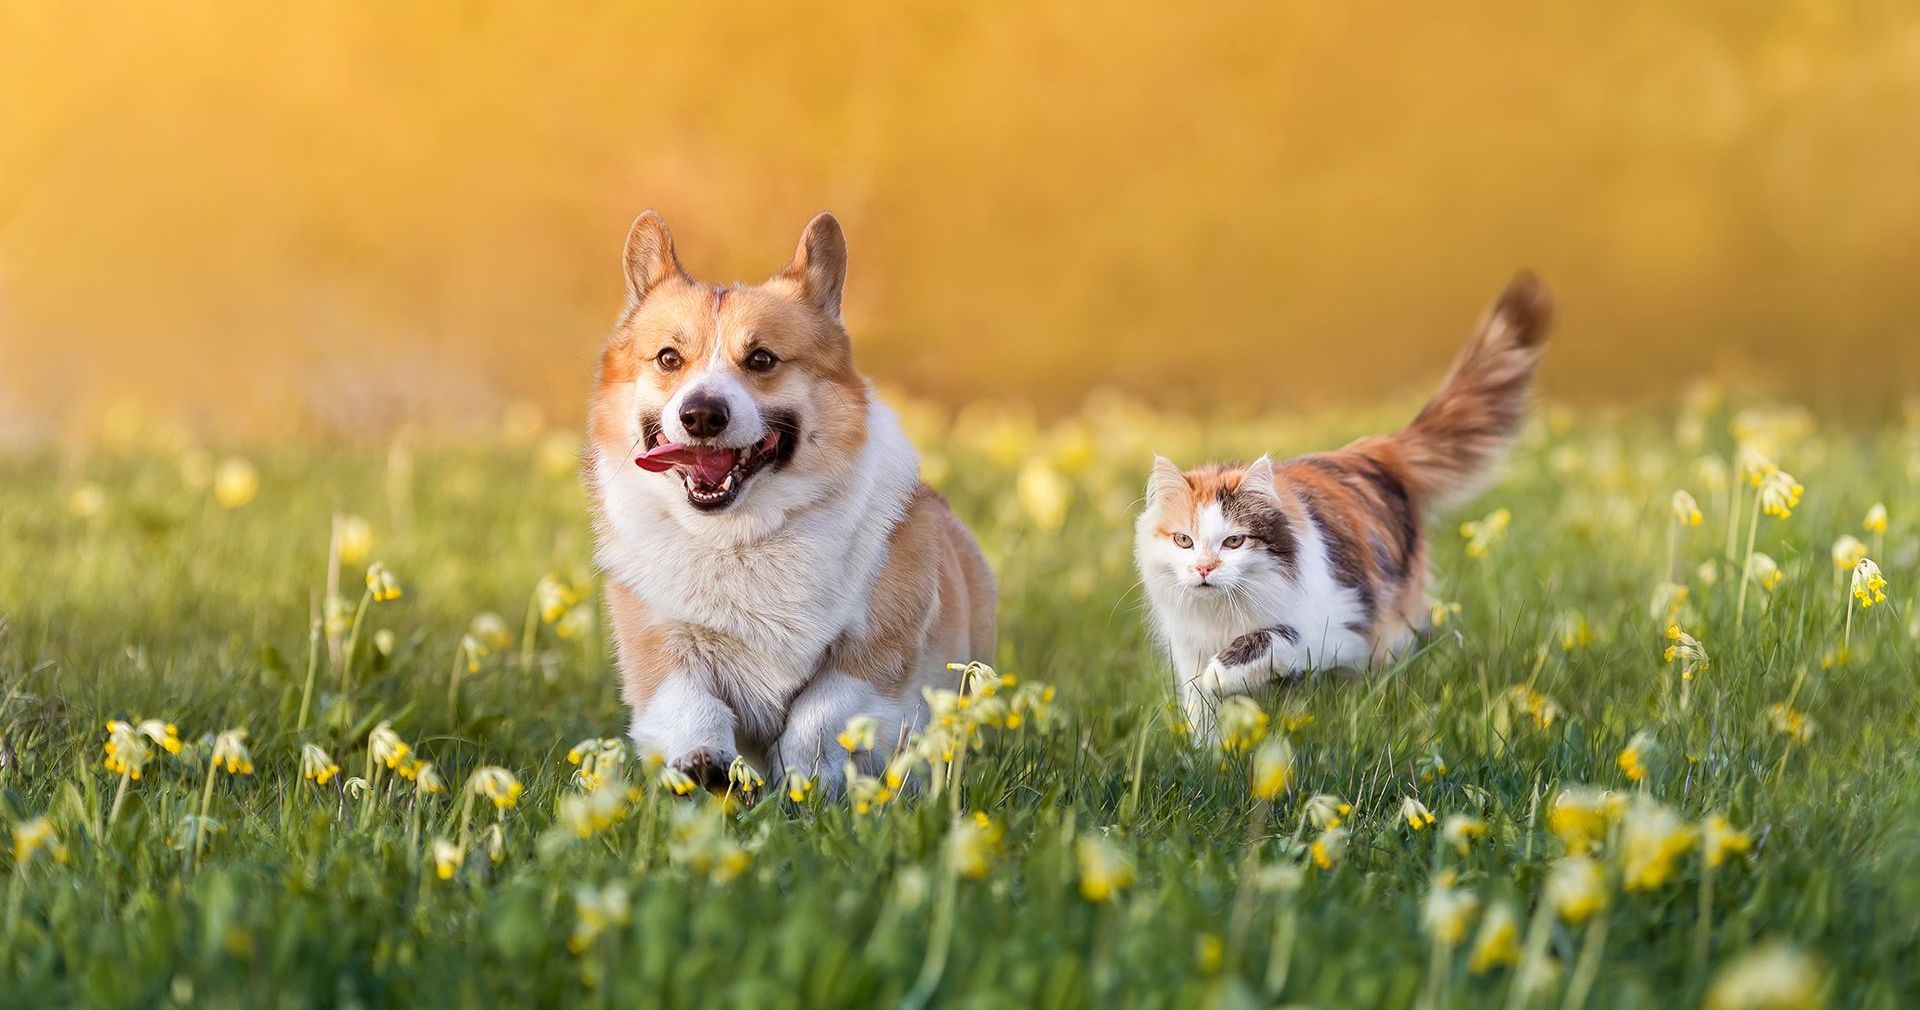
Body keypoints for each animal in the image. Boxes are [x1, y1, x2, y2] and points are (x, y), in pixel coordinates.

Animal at [587, 214, 998, 794]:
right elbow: (689, 705)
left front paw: (802, 781)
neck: (741, 536)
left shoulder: (871, 652)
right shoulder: (659, 639)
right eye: (669, 358)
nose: (701, 414)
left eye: (761, 359)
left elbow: (819, 713)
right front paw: (702, 764)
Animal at [1128, 272, 1551, 741]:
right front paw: (1209, 750)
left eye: (1234, 542)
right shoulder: (1187, 648)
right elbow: (1201, 710)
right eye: (1184, 541)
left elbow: (1267, 642)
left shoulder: (1329, 629)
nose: (1204, 568)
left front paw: (1221, 677)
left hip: (1384, 628)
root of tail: (1373, 449)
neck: (1222, 615)